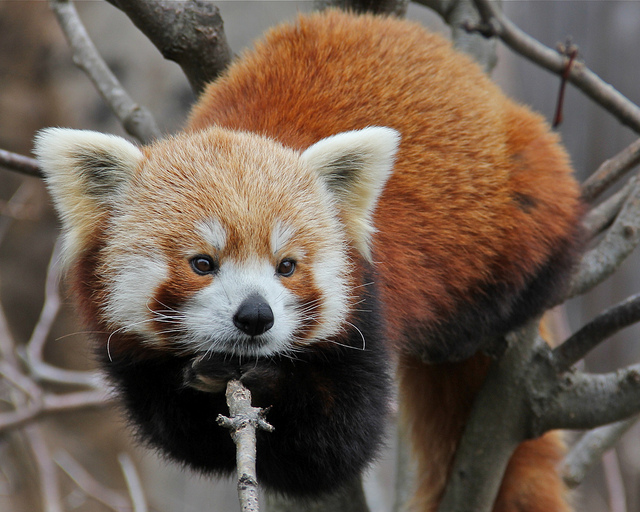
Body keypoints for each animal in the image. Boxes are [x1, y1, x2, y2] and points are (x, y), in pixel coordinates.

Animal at [37, 9, 584, 512]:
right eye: (202, 263)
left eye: (287, 266)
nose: (255, 316)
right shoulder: (131, 358)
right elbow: (179, 429)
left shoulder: (367, 302)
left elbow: (335, 448)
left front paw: (274, 384)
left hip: (526, 193)